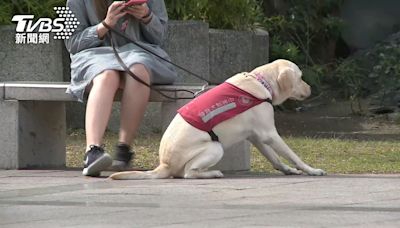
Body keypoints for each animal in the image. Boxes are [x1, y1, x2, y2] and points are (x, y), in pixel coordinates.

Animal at [109, 59, 324, 180]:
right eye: (300, 77)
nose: (311, 89)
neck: (262, 83)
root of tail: (164, 164)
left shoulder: (256, 137)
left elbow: (276, 159)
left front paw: (288, 170)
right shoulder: (269, 134)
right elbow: (293, 155)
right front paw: (312, 170)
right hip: (215, 147)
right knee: (188, 173)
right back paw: (212, 173)